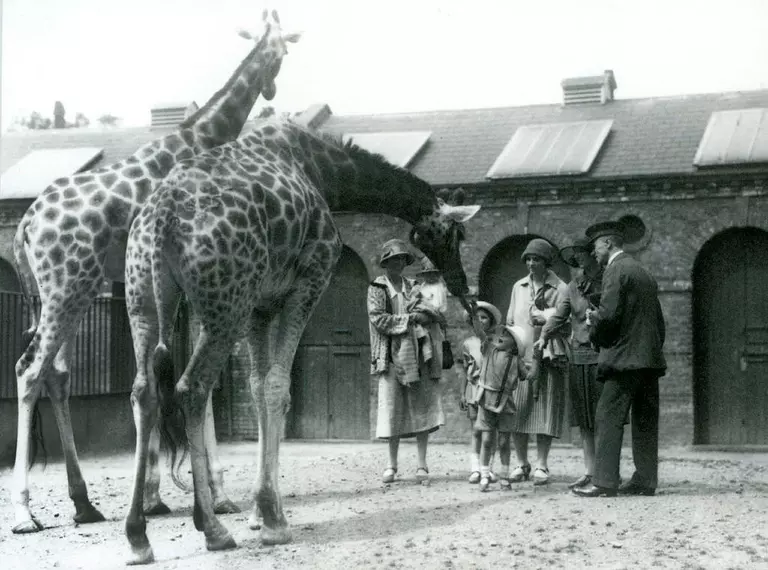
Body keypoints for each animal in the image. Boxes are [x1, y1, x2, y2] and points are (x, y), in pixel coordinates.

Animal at [12, 10, 300, 532]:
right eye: (280, 52)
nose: (270, 88)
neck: (201, 138)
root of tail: (25, 224)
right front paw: (214, 495)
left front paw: (158, 495)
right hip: (66, 289)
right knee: (29, 370)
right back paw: (25, 511)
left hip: (70, 291)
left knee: (56, 374)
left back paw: (84, 503)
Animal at [120, 117, 480, 560]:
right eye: (456, 234)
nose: (460, 282)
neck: (325, 171)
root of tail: (160, 218)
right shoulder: (308, 280)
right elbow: (278, 386)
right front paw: (274, 521)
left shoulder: (260, 304)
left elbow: (257, 387)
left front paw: (259, 513)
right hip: (224, 304)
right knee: (192, 387)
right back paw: (213, 528)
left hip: (144, 300)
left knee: (143, 391)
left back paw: (138, 535)